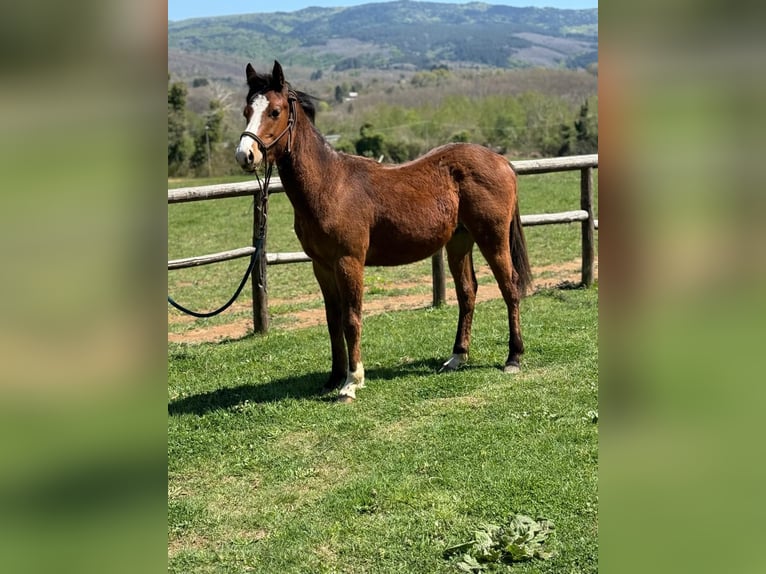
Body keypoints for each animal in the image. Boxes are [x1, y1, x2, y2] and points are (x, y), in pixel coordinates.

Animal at [235, 61, 532, 403]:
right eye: (246, 110)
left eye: (275, 111)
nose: (245, 155)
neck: (330, 185)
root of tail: (502, 161)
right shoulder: (321, 266)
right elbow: (332, 321)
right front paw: (333, 378)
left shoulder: (349, 262)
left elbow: (351, 319)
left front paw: (352, 382)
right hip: (459, 242)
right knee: (467, 292)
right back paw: (457, 357)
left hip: (492, 239)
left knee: (510, 288)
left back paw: (514, 358)